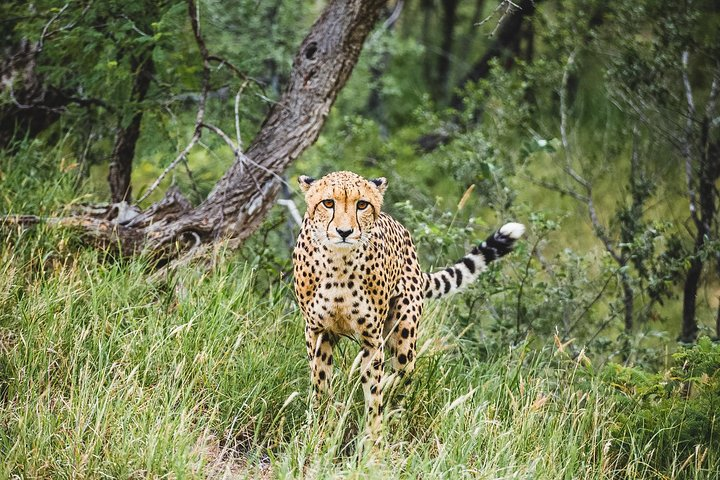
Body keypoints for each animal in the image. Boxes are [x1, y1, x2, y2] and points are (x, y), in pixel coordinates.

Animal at [292, 170, 524, 438]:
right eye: (328, 203)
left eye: (362, 205)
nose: (344, 231)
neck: (339, 264)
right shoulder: (317, 332)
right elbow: (320, 384)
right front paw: (318, 431)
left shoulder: (372, 340)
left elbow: (375, 392)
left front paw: (373, 439)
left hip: (404, 337)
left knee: (402, 380)